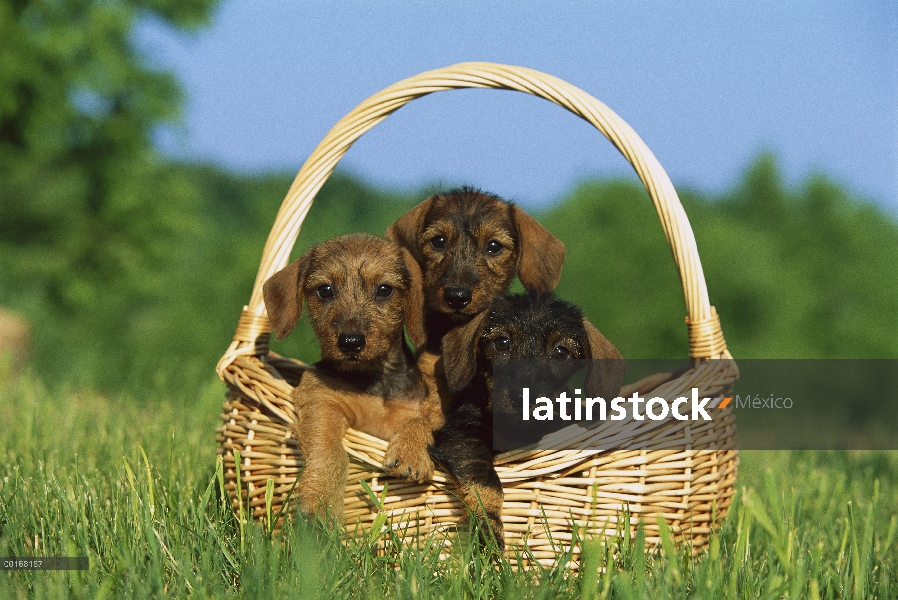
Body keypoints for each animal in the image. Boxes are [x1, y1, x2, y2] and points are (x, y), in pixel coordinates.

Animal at [262, 234, 444, 520]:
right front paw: (321, 501)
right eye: (324, 290)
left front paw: (411, 452)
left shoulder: (421, 408)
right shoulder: (324, 404)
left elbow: (421, 421)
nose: (350, 342)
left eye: (384, 289)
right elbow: (330, 451)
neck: (373, 381)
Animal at [434, 292, 624, 552]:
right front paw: (488, 532)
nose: (523, 397)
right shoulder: (463, 436)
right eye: (501, 342)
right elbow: (486, 484)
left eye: (561, 352)